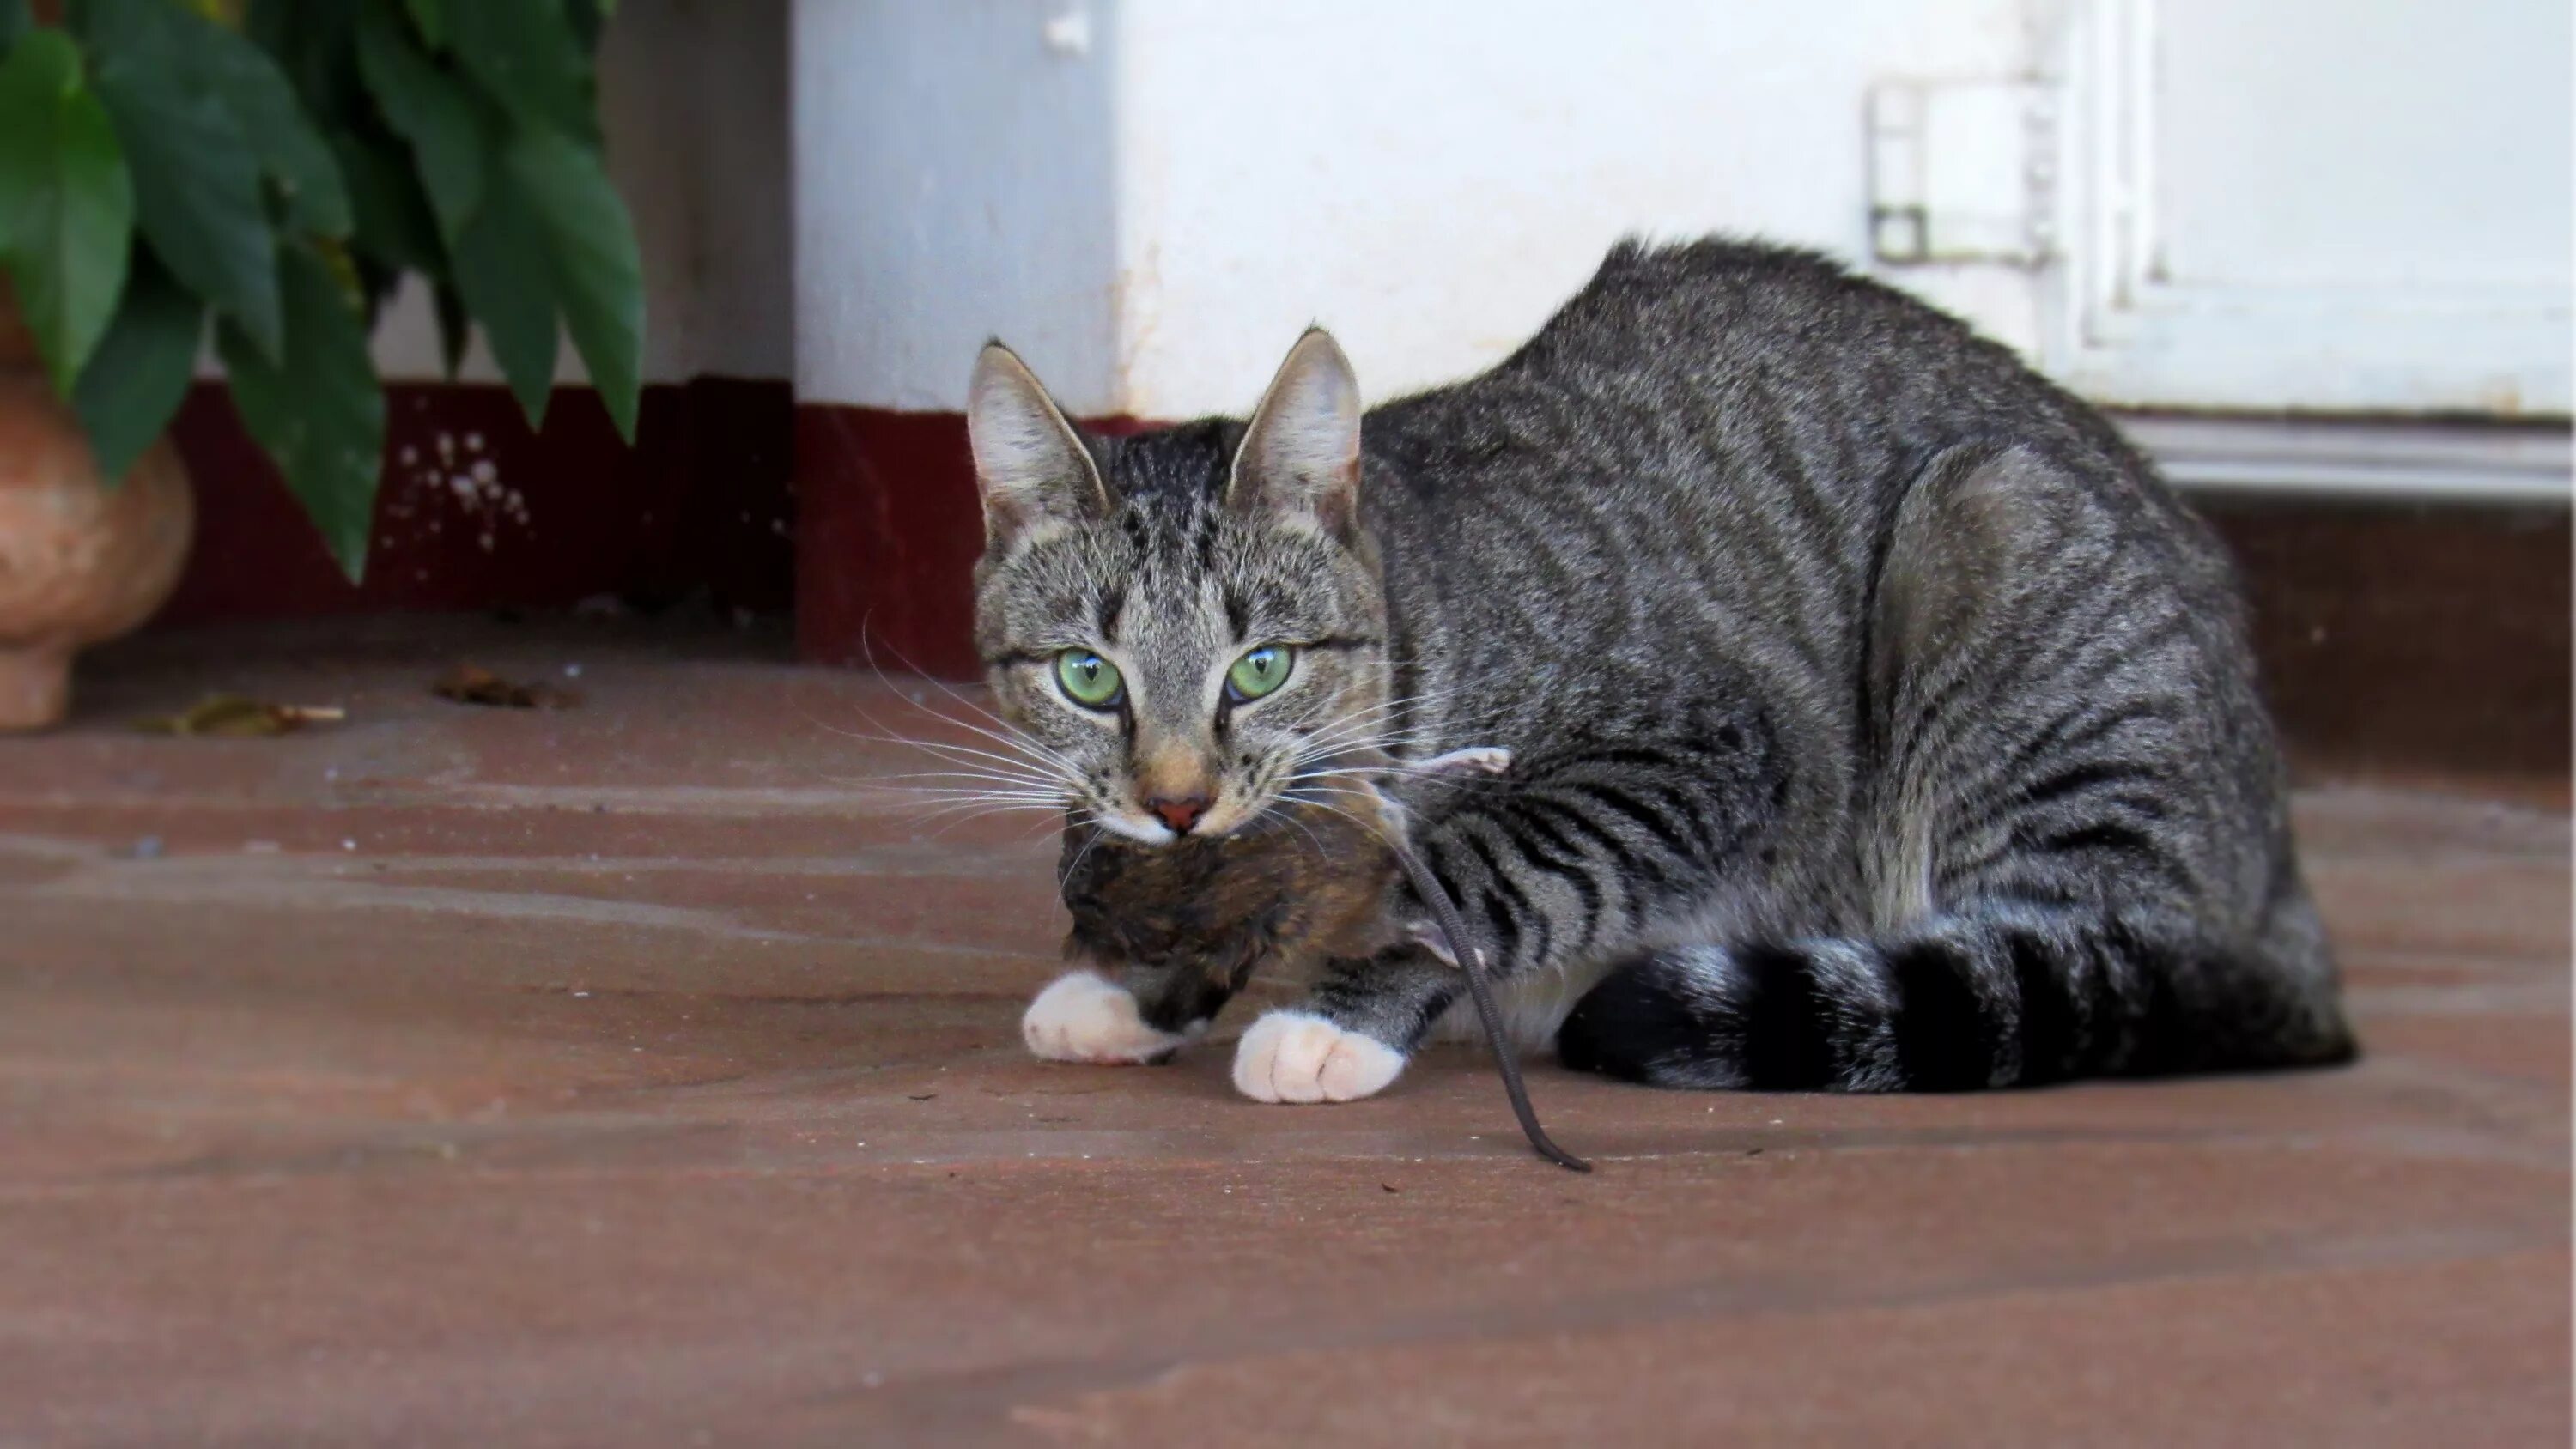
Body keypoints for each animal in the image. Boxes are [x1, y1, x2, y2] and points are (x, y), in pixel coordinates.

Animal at [963, 238, 2360, 1106]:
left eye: (1258, 667)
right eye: (1089, 677)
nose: (1178, 798)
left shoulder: (1706, 745)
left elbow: (1480, 869)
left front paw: (1332, 1015)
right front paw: (1138, 988)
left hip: (1995, 536)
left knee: (2087, 957)